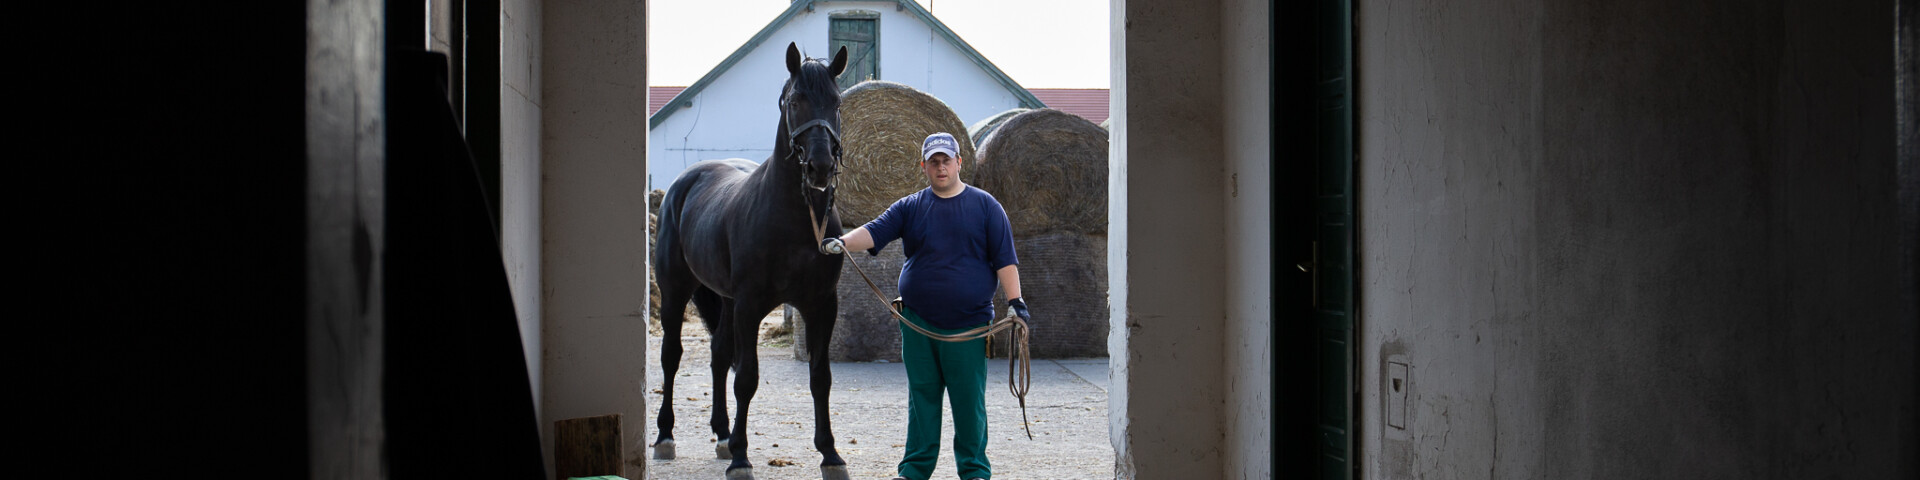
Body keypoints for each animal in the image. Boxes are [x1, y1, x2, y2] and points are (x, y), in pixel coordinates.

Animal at [652, 42, 851, 480]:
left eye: (836, 102)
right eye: (795, 101)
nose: (820, 167)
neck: (794, 218)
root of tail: (686, 180)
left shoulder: (821, 306)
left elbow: (821, 377)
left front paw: (830, 454)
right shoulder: (750, 305)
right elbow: (746, 378)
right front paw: (743, 459)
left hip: (724, 300)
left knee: (718, 354)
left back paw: (723, 435)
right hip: (676, 292)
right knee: (672, 356)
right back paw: (666, 437)